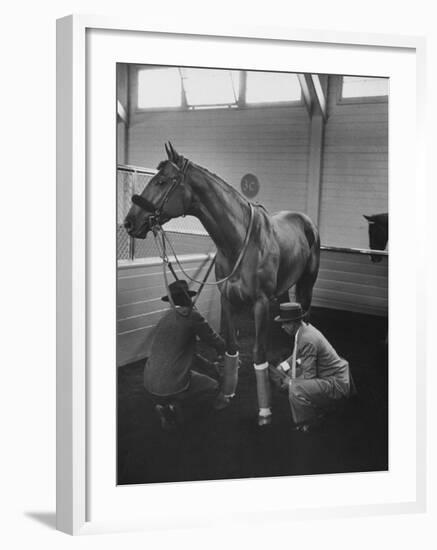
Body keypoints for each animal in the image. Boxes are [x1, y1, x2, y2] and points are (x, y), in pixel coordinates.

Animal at [124, 142, 318, 426]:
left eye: (161, 181)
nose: (129, 222)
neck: (239, 241)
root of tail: (305, 220)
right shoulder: (227, 300)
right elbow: (231, 347)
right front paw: (225, 395)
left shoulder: (260, 303)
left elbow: (258, 353)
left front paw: (264, 411)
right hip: (283, 290)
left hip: (307, 284)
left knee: (304, 318)